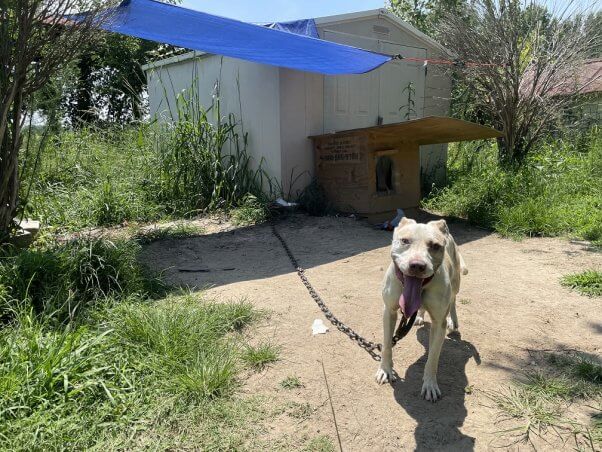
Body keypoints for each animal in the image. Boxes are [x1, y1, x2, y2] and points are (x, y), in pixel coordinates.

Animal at [372, 217, 466, 400]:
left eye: (435, 246)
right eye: (405, 241)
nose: (417, 265)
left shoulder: (439, 323)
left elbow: (433, 358)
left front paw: (430, 384)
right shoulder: (389, 311)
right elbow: (387, 345)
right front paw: (385, 370)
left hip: (456, 282)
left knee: (453, 299)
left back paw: (453, 320)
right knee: (421, 308)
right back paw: (420, 316)